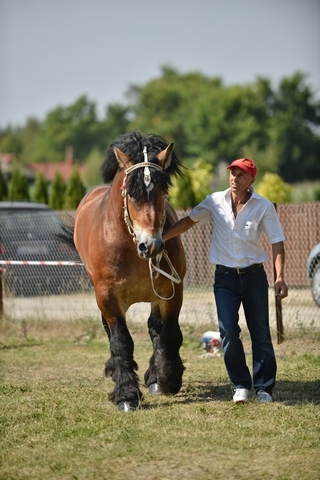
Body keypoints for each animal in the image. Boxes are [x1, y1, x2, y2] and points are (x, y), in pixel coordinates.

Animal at [63, 130, 185, 408]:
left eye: (163, 191)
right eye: (131, 193)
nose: (151, 244)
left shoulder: (171, 292)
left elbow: (169, 335)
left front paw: (168, 378)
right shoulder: (108, 297)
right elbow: (121, 341)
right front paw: (127, 394)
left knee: (155, 328)